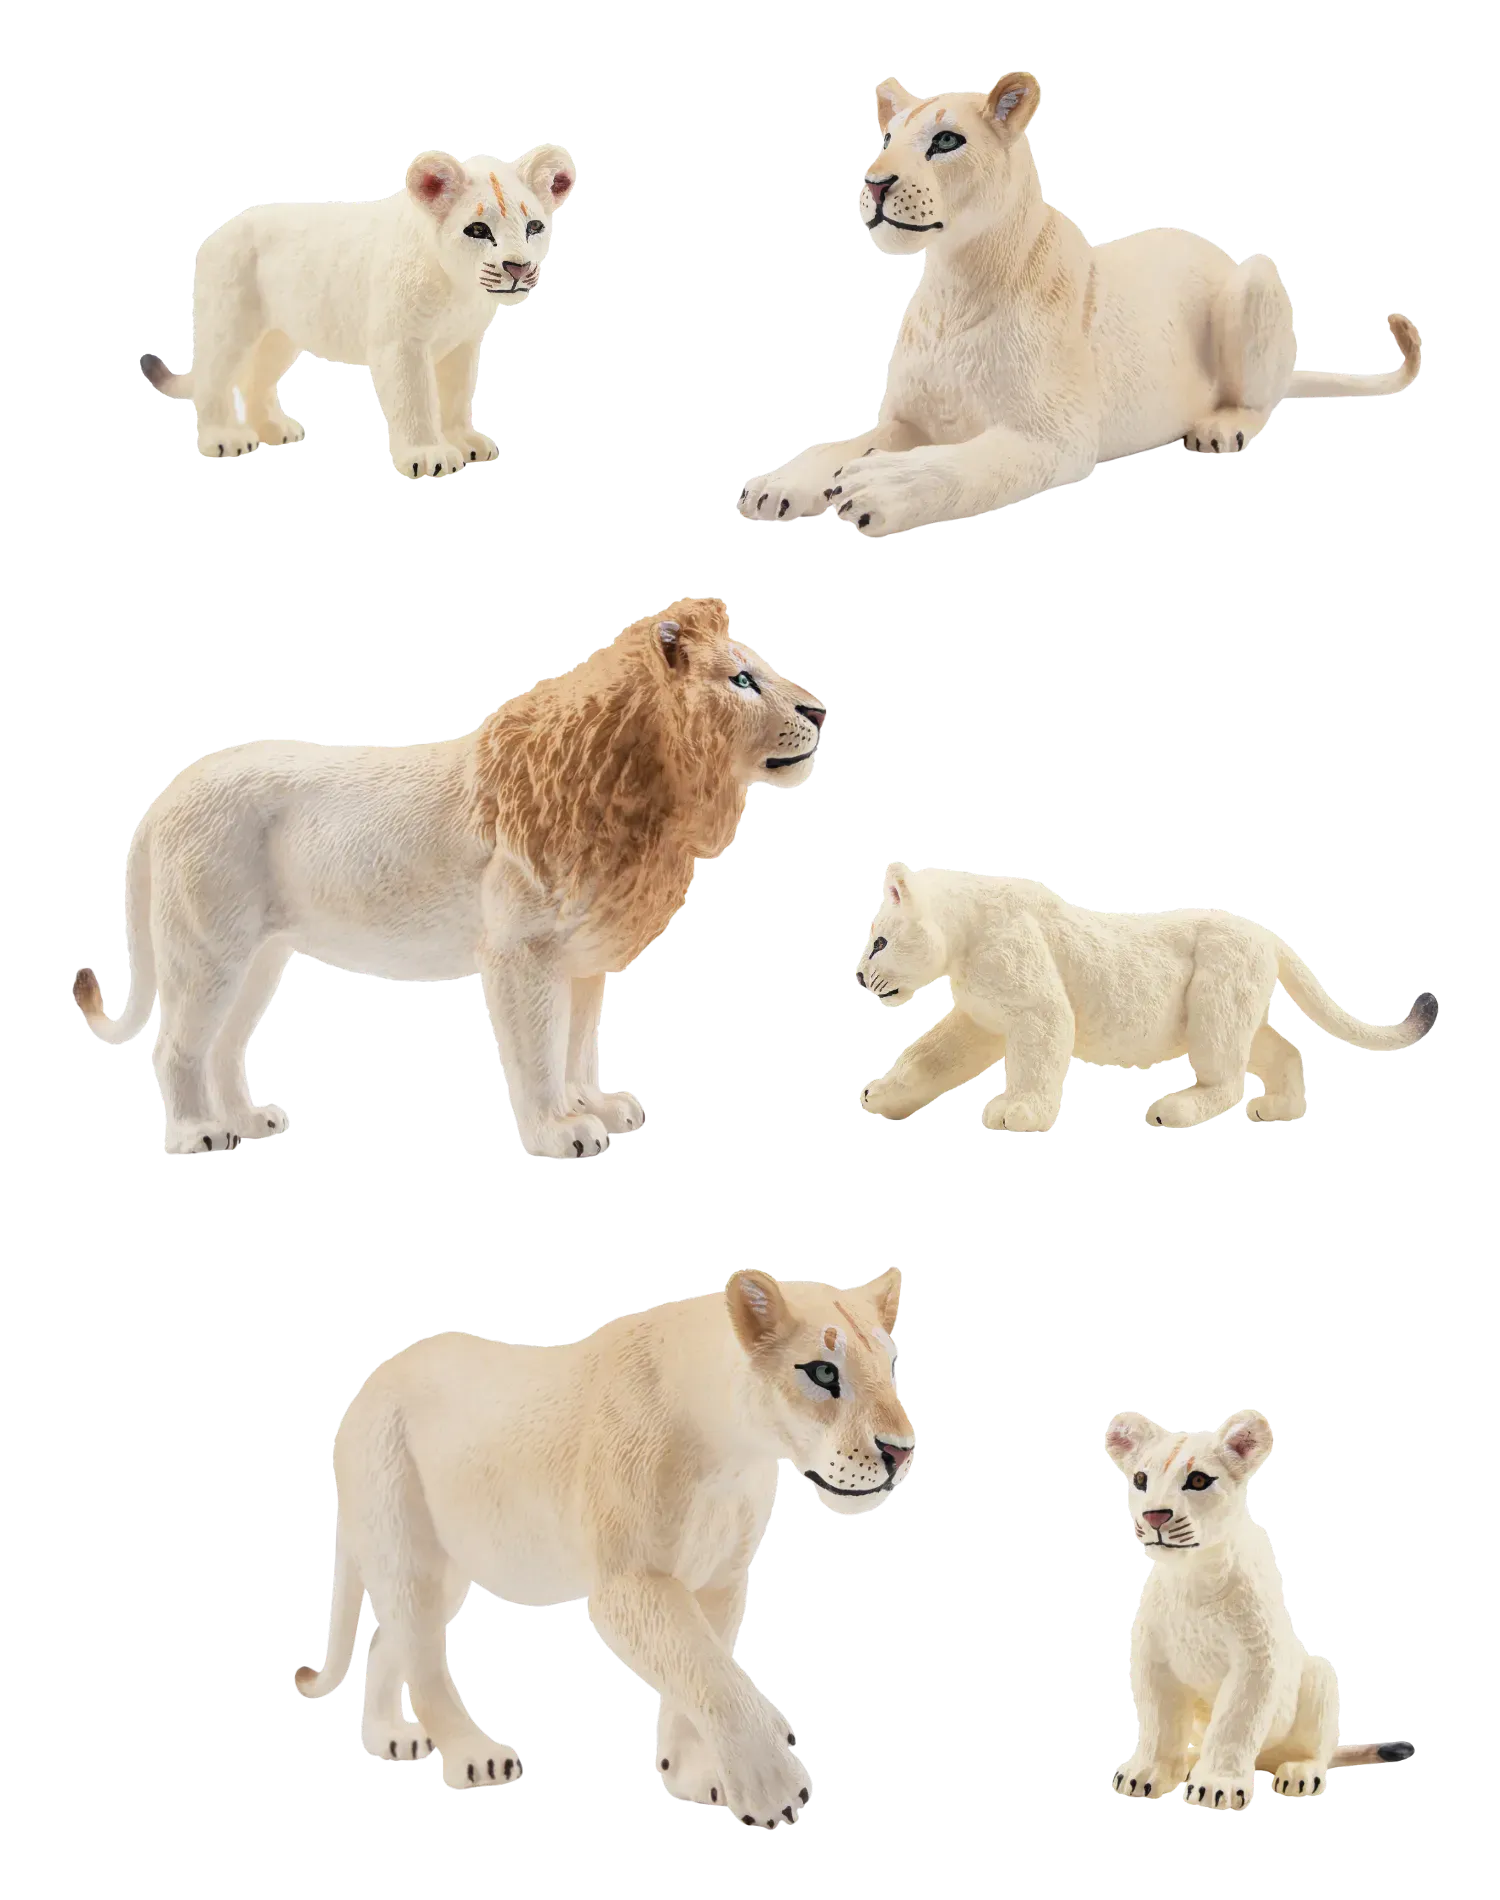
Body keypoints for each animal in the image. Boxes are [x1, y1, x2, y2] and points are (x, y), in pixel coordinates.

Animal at [71, 598, 826, 1157]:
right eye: (742, 680)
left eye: (761, 669)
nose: (819, 711)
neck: (648, 793)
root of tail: (171, 791)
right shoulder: (524, 954)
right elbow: (538, 1053)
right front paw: (559, 1130)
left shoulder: (583, 959)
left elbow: (578, 1047)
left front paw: (595, 1105)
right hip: (208, 951)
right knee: (176, 1046)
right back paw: (194, 1135)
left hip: (261, 954)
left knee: (226, 1045)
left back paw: (248, 1123)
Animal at [293, 1270, 914, 1822]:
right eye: (823, 1372)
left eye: (889, 1367)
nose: (901, 1451)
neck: (733, 1451)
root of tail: (369, 1385)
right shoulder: (629, 1584)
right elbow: (713, 1675)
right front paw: (771, 1785)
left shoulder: (719, 1580)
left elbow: (697, 1671)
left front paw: (691, 1776)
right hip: (406, 1547)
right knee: (420, 1656)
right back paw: (475, 1757)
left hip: (446, 1566)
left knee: (392, 1639)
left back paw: (389, 1739)